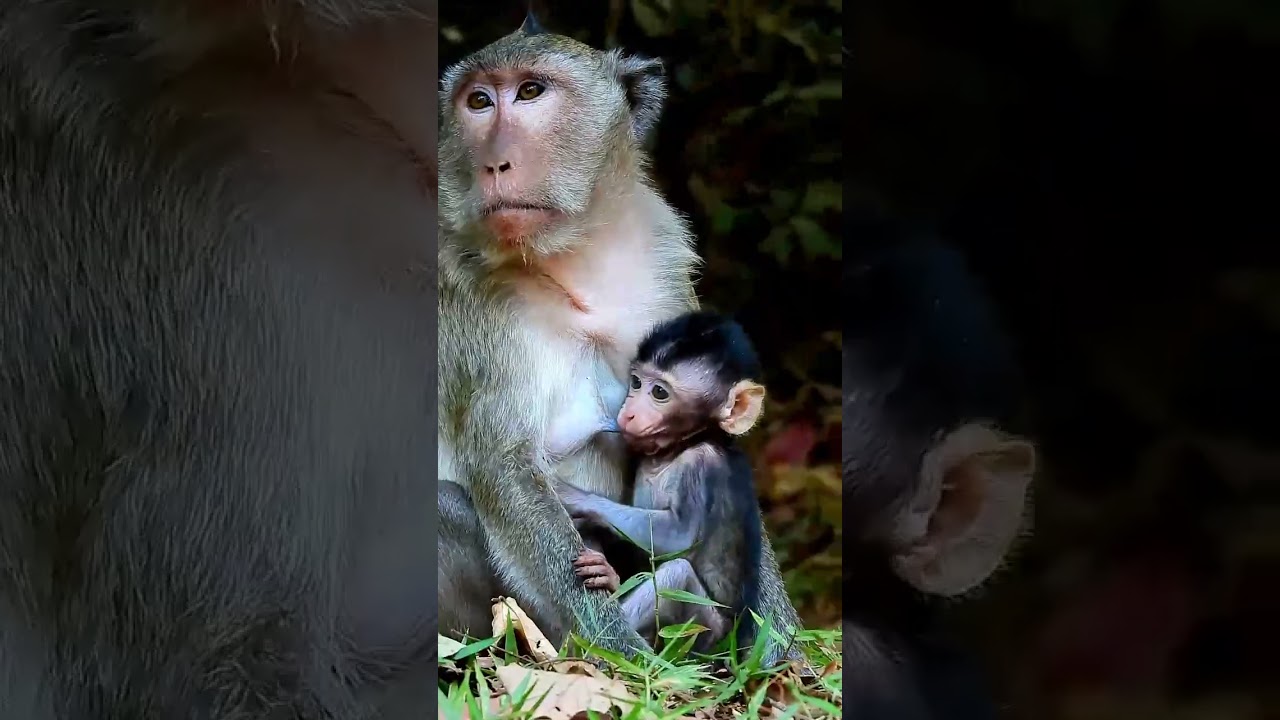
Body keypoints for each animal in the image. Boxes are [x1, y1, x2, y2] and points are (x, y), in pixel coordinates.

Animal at [557, 311, 774, 657]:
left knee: (677, 575)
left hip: (706, 635)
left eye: (660, 392)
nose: (628, 414)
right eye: (636, 383)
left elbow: (677, 536)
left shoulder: (700, 465)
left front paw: (575, 498)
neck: (680, 447)